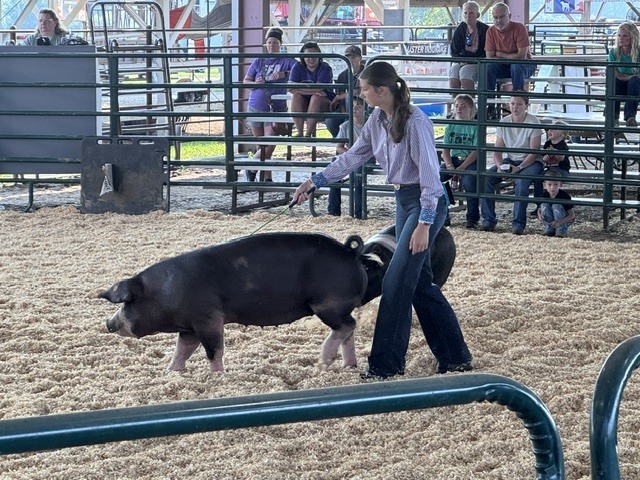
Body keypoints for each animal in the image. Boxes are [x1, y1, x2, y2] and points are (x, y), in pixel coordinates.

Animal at [99, 228, 456, 372]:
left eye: (127, 303)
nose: (108, 323)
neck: (167, 291)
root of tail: (349, 251)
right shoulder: (189, 325)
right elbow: (182, 349)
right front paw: (171, 372)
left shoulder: (208, 318)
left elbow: (214, 349)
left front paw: (217, 376)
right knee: (349, 329)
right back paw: (346, 365)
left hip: (326, 304)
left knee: (347, 325)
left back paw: (324, 359)